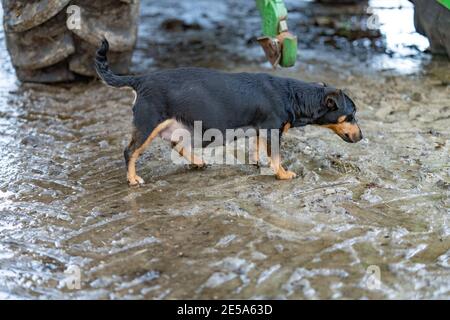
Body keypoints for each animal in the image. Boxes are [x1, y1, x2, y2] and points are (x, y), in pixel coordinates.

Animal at [94, 39, 362, 186]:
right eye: (351, 115)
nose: (362, 137)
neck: (293, 96)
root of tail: (139, 80)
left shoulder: (260, 130)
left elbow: (257, 148)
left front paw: (258, 162)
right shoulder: (272, 131)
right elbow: (276, 157)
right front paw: (283, 174)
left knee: (176, 145)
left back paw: (198, 162)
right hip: (148, 124)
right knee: (130, 152)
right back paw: (133, 179)